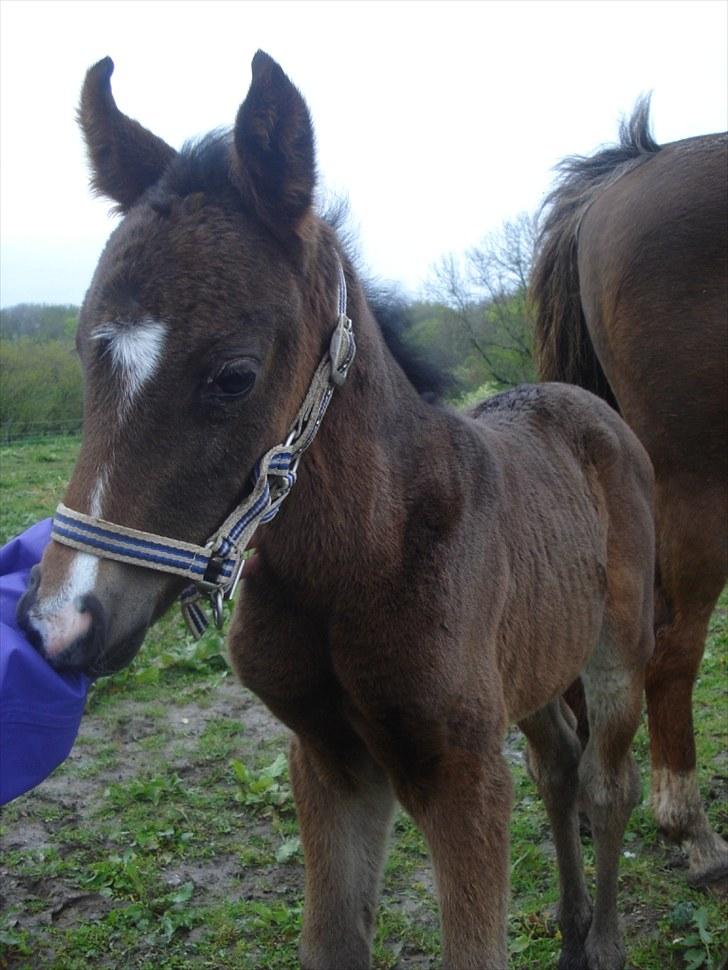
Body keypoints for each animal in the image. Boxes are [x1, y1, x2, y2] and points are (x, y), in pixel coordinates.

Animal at [17, 54, 656, 968]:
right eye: (81, 353)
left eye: (234, 375)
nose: (60, 624)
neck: (363, 560)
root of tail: (583, 402)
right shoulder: (328, 761)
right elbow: (333, 941)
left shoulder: (462, 777)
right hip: (537, 656)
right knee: (560, 767)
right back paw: (570, 934)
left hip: (618, 648)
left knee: (608, 784)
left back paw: (599, 941)